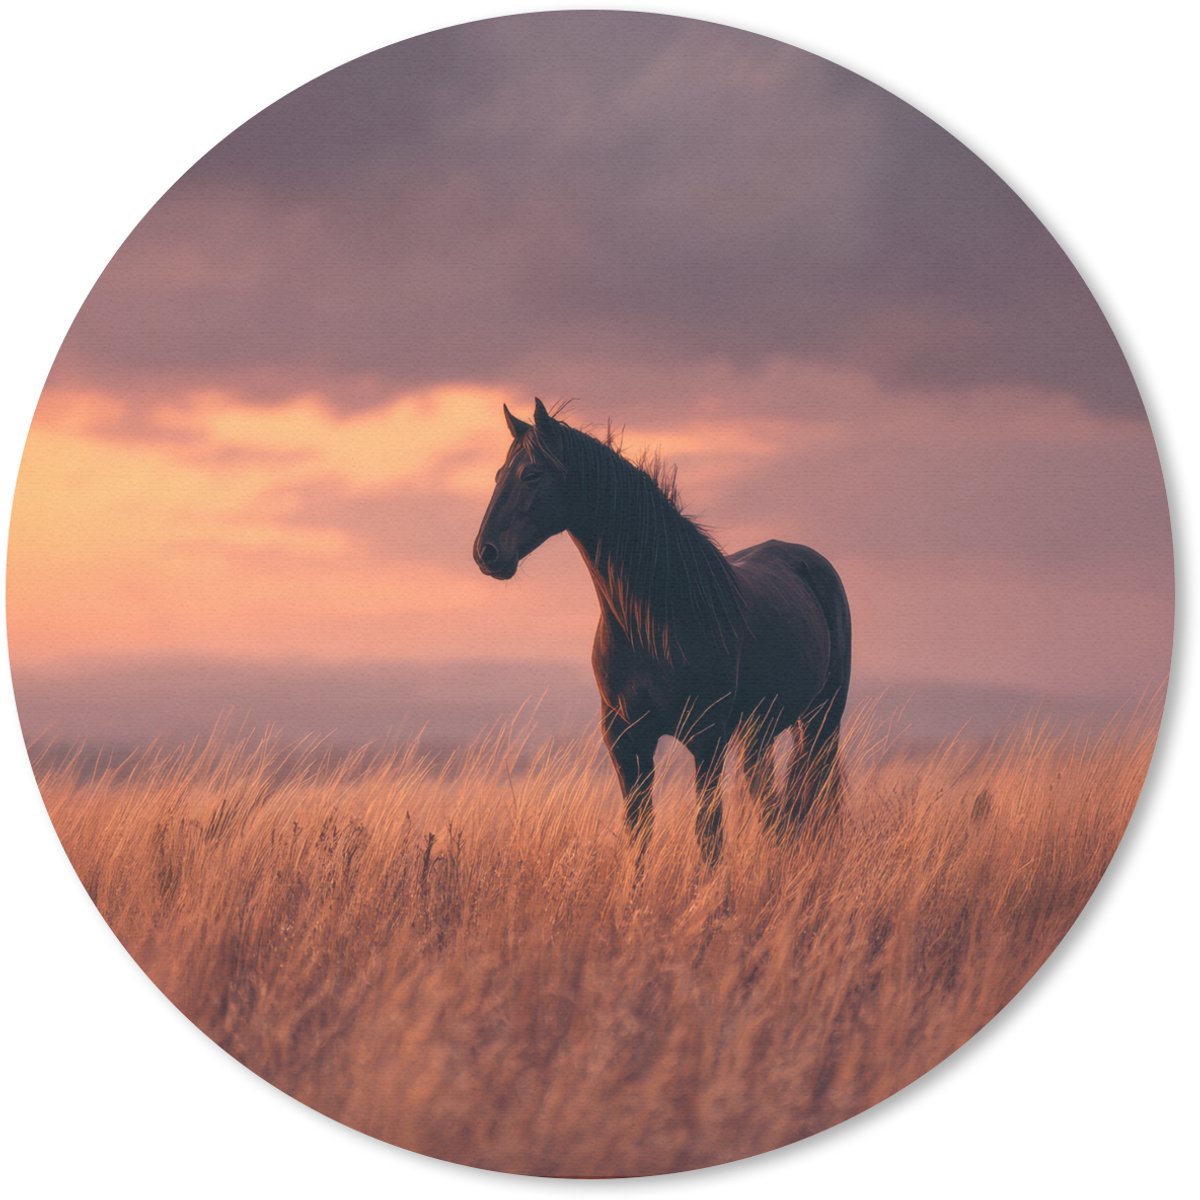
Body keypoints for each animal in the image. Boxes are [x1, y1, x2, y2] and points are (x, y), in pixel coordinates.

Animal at [473, 398, 851, 865]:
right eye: (498, 475)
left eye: (532, 474)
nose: (486, 553)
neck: (659, 620)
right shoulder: (625, 740)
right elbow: (640, 833)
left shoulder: (706, 739)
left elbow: (709, 834)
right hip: (758, 732)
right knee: (773, 808)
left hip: (821, 720)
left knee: (809, 795)